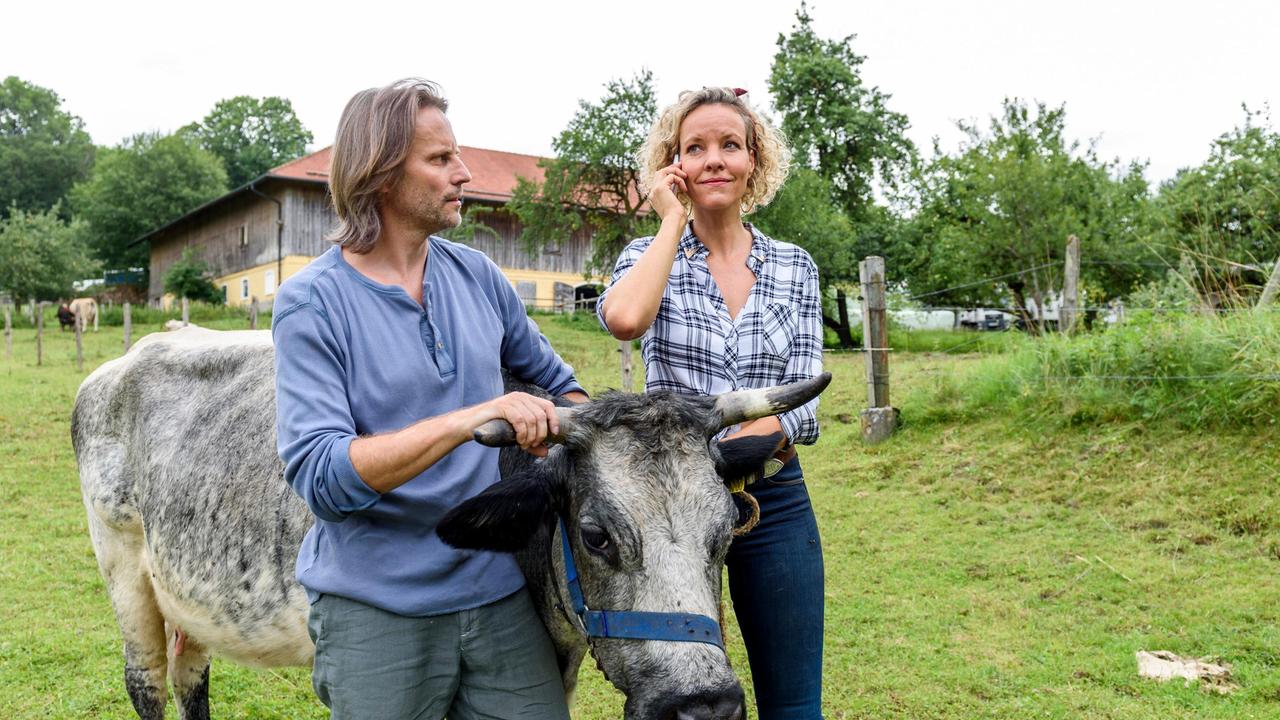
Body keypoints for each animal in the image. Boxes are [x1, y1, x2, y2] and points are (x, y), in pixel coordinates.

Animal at [72, 326, 829, 717]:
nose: (703, 704)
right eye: (596, 535)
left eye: (726, 531)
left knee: (190, 676)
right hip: (124, 569)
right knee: (146, 680)